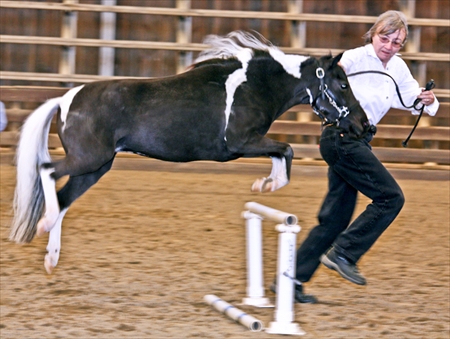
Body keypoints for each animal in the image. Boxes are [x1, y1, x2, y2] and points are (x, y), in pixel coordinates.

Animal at [9, 31, 370, 274]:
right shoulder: (241, 142)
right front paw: (265, 185)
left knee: (63, 199)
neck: (254, 85)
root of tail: (65, 99)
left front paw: (264, 184)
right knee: (48, 172)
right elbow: (288, 150)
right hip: (88, 160)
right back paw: (44, 227)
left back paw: (51, 257)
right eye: (343, 84)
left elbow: (282, 153)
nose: (364, 125)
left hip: (95, 167)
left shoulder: (250, 143)